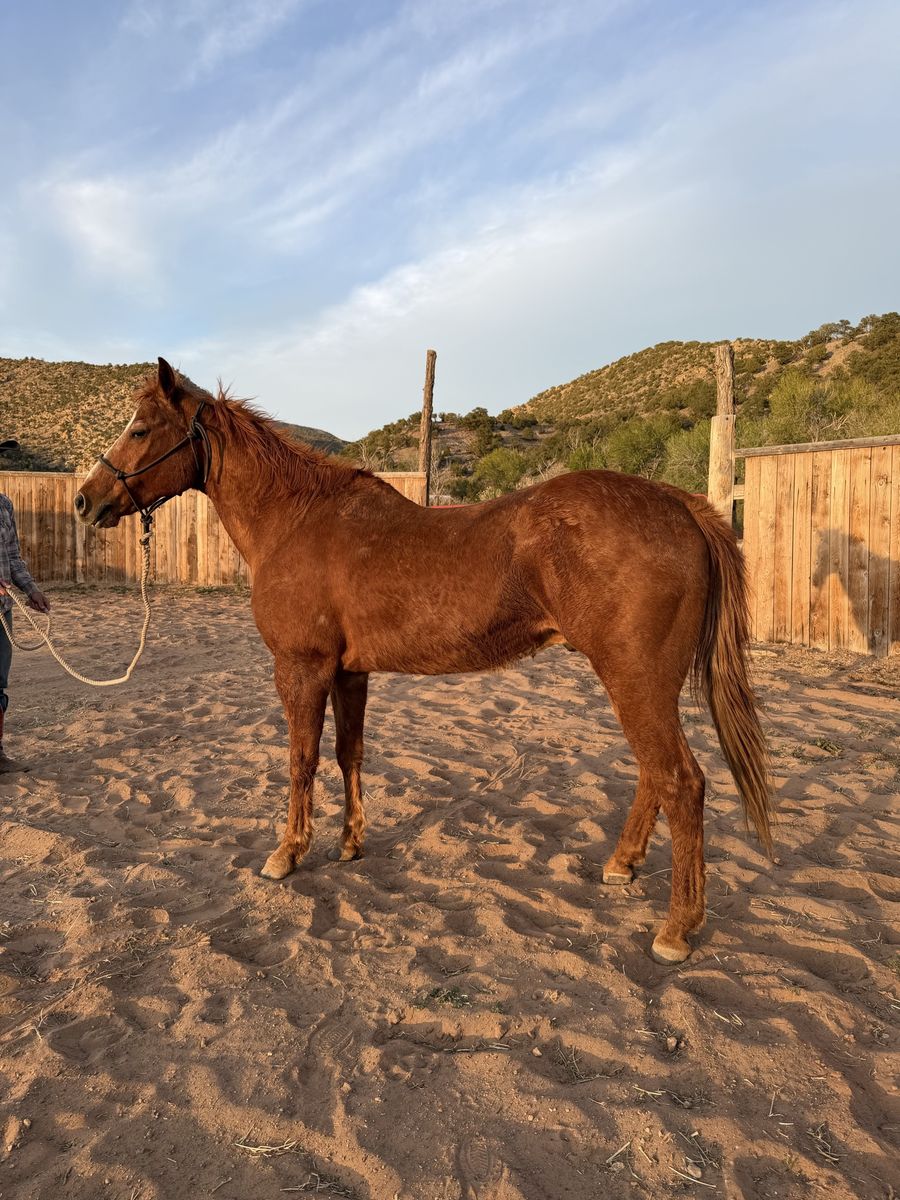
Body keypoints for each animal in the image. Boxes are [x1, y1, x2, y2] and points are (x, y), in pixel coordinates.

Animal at [74, 358, 772, 963]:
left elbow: (302, 761)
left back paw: (677, 928)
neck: (295, 521)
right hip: (641, 686)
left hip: (636, 681)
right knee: (655, 775)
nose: (85, 501)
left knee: (681, 781)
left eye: (140, 429)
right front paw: (350, 844)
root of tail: (680, 505)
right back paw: (621, 867)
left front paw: (286, 854)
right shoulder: (349, 673)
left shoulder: (301, 670)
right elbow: (349, 754)